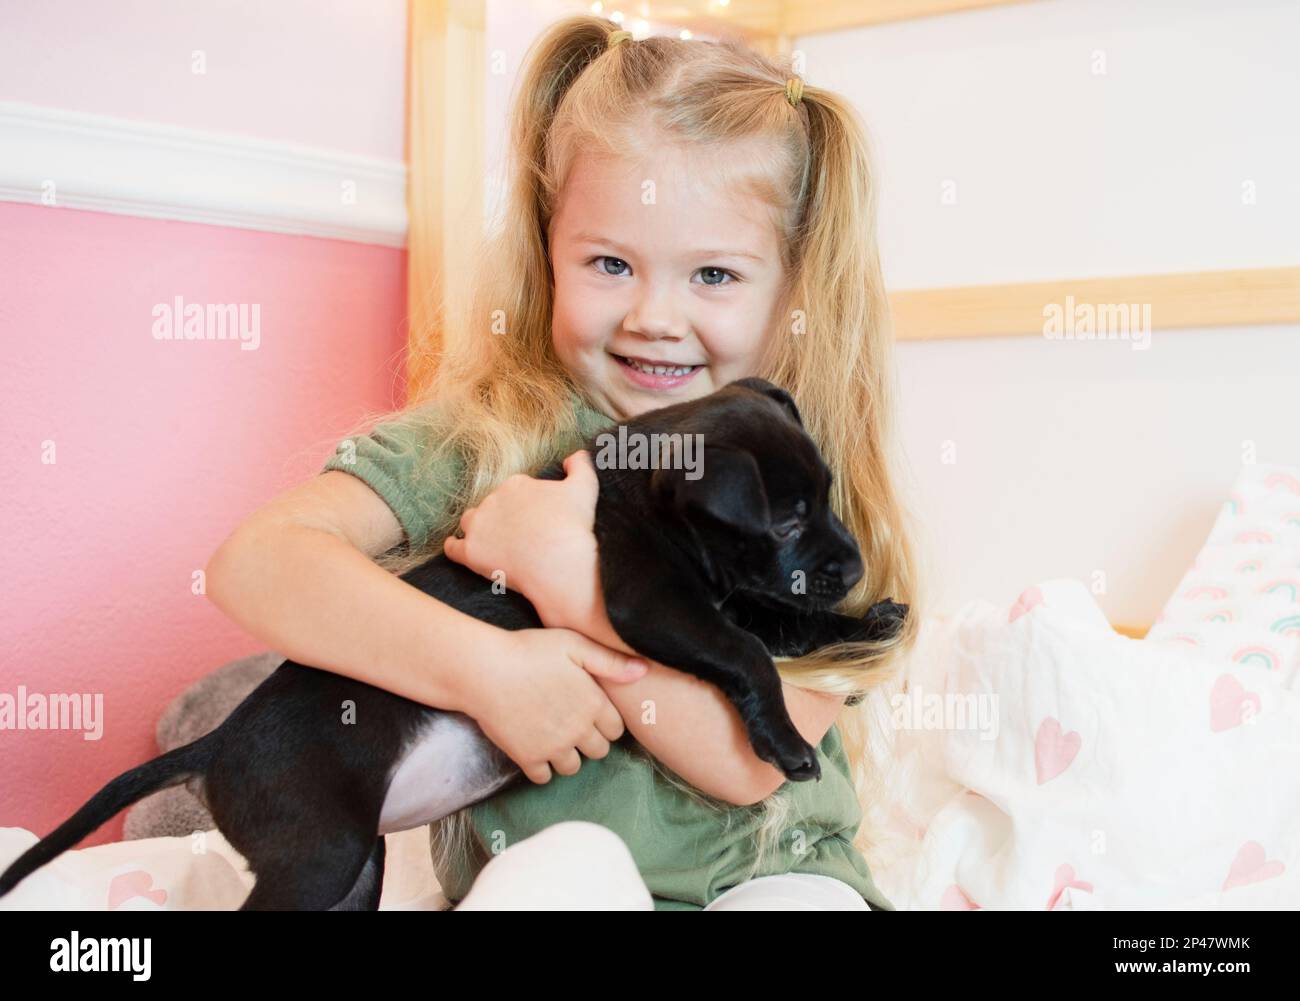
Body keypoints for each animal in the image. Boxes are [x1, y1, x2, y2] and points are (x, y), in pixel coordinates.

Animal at [0, 374, 909, 904]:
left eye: (828, 496)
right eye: (787, 519)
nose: (857, 561)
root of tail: (215, 741)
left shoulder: (730, 596)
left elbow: (790, 624)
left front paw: (866, 626)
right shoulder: (647, 599)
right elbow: (749, 651)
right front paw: (785, 740)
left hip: (354, 866)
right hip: (319, 854)